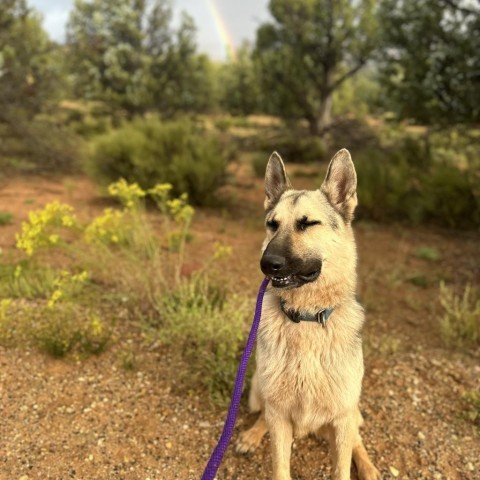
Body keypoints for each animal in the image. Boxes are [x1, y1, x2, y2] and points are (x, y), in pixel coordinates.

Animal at [234, 150, 380, 480]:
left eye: (308, 223)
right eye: (272, 224)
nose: (267, 264)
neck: (306, 317)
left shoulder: (342, 417)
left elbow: (342, 466)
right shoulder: (278, 413)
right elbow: (279, 465)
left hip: (350, 412)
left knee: (357, 441)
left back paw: (368, 467)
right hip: (257, 389)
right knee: (261, 415)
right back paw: (251, 435)